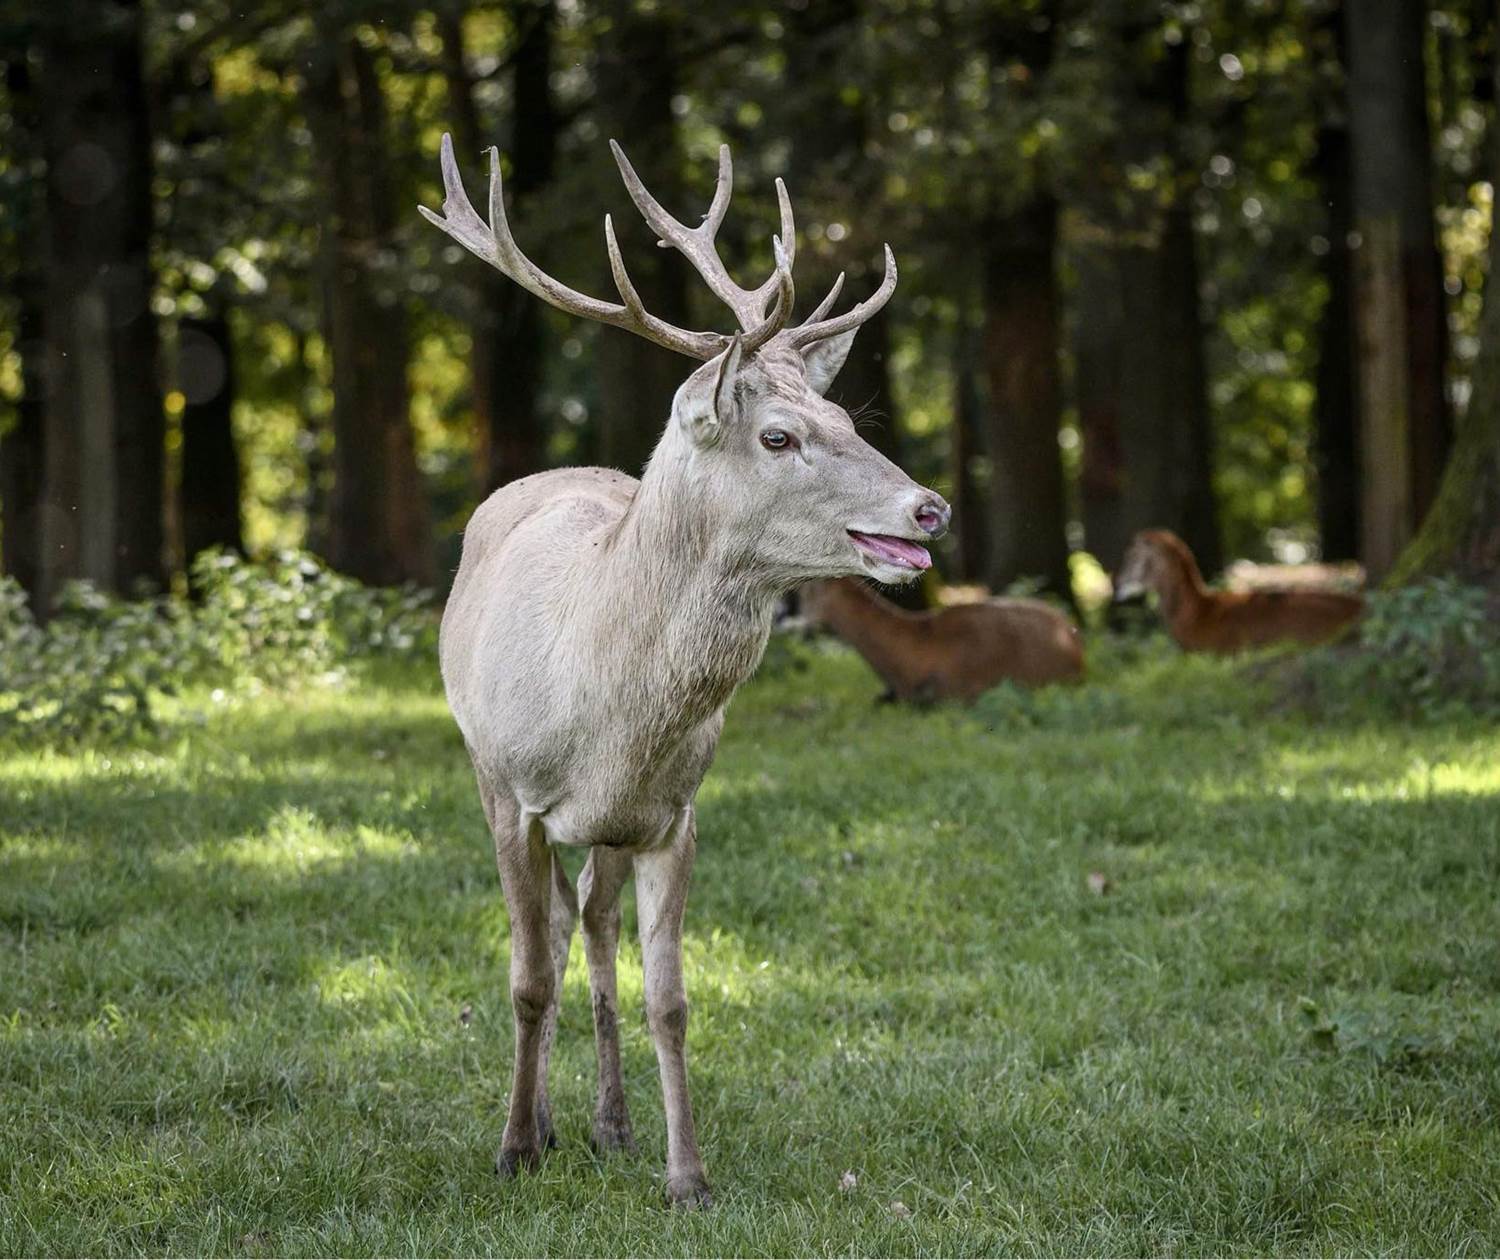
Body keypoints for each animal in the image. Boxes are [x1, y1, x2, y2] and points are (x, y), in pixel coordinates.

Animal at [419, 135, 949, 1207]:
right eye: (780, 435)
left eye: (847, 416)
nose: (930, 507)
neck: (607, 709)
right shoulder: (511, 790)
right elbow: (524, 978)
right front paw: (513, 1148)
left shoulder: (675, 812)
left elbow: (671, 998)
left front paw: (687, 1176)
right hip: (488, 771)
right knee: (547, 935)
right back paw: (545, 1121)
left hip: (614, 831)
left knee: (591, 921)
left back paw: (610, 1124)